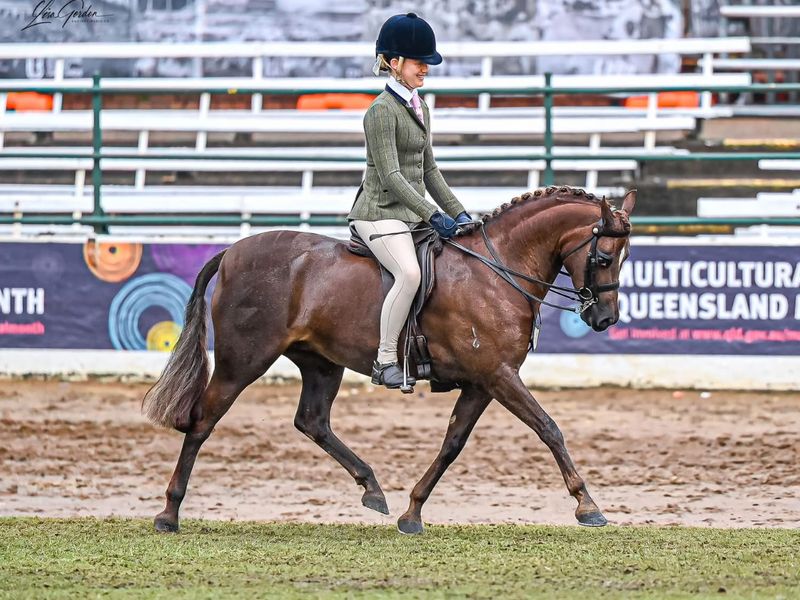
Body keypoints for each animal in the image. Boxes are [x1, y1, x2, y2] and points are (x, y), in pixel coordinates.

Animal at [143, 185, 636, 534]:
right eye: (604, 257)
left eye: (626, 256)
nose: (605, 318)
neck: (496, 272)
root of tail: (231, 252)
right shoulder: (498, 376)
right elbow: (549, 428)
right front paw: (588, 505)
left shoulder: (484, 382)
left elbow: (452, 443)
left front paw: (412, 512)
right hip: (242, 361)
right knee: (203, 421)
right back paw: (169, 513)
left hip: (322, 363)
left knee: (312, 421)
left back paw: (372, 488)